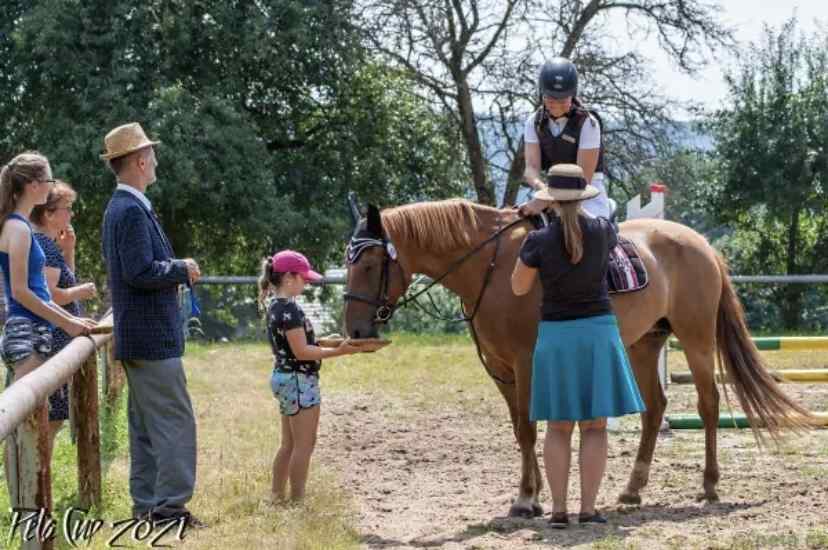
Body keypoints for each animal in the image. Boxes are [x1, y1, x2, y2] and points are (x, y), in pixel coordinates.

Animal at [342, 201, 808, 520]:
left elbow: (529, 427)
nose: (356, 331)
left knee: (707, 403)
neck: (493, 267)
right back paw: (632, 489)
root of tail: (701, 244)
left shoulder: (525, 361)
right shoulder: (501, 370)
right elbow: (520, 430)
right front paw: (531, 495)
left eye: (370, 262)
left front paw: (528, 498)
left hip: (695, 338)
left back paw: (709, 486)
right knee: (655, 408)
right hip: (645, 343)